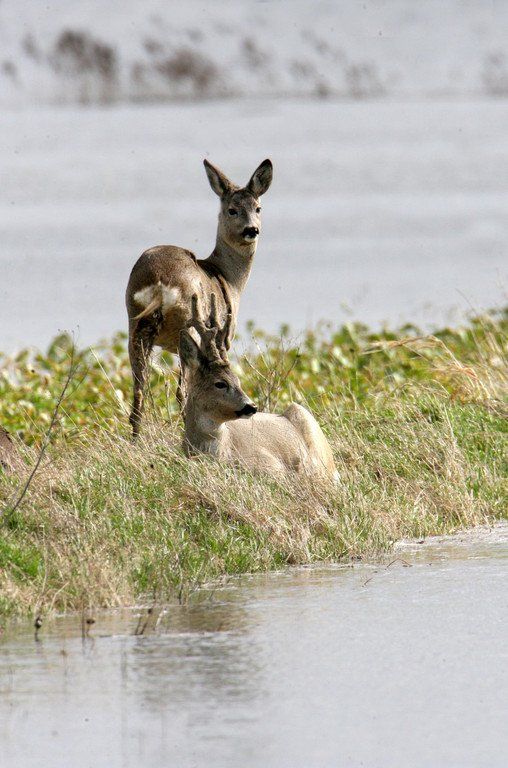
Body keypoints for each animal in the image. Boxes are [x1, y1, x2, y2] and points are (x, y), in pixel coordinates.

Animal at [125, 157, 273, 438]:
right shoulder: (223, 337)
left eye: (258, 208)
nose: (252, 230)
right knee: (181, 391)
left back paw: (135, 440)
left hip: (135, 323)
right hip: (188, 325)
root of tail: (159, 282)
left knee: (139, 390)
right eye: (232, 210)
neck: (227, 277)